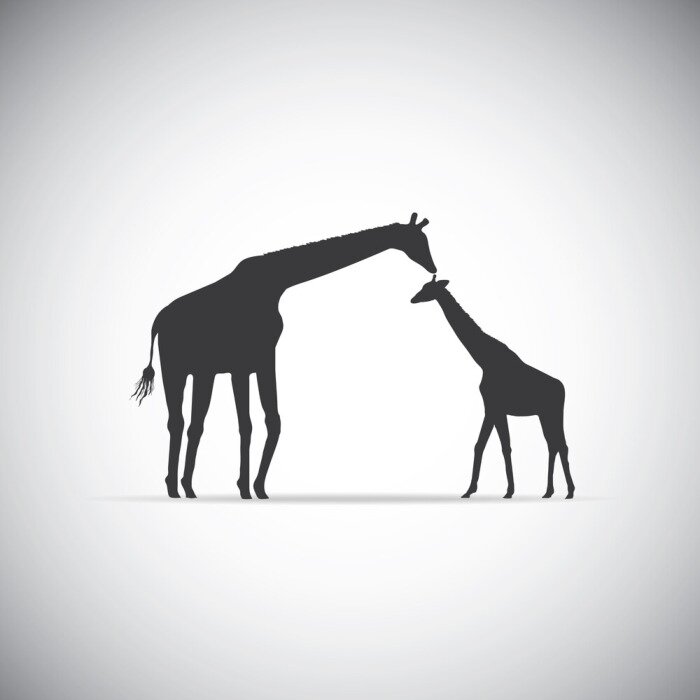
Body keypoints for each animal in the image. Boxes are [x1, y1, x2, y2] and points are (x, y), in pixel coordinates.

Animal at [133, 214, 436, 499]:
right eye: (419, 240)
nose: (433, 267)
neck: (276, 283)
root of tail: (157, 321)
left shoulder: (258, 360)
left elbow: (272, 420)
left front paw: (257, 488)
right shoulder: (244, 365)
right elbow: (248, 424)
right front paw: (246, 488)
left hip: (202, 372)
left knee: (194, 425)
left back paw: (188, 487)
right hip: (174, 369)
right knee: (176, 422)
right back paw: (173, 488)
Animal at [410, 276, 574, 499]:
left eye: (428, 288)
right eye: (423, 286)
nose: (413, 299)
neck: (485, 360)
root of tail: (562, 388)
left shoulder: (494, 407)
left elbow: (503, 447)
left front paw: (508, 491)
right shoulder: (492, 408)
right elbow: (481, 445)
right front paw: (470, 490)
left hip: (553, 413)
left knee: (559, 445)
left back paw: (567, 491)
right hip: (544, 414)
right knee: (554, 445)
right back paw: (550, 491)